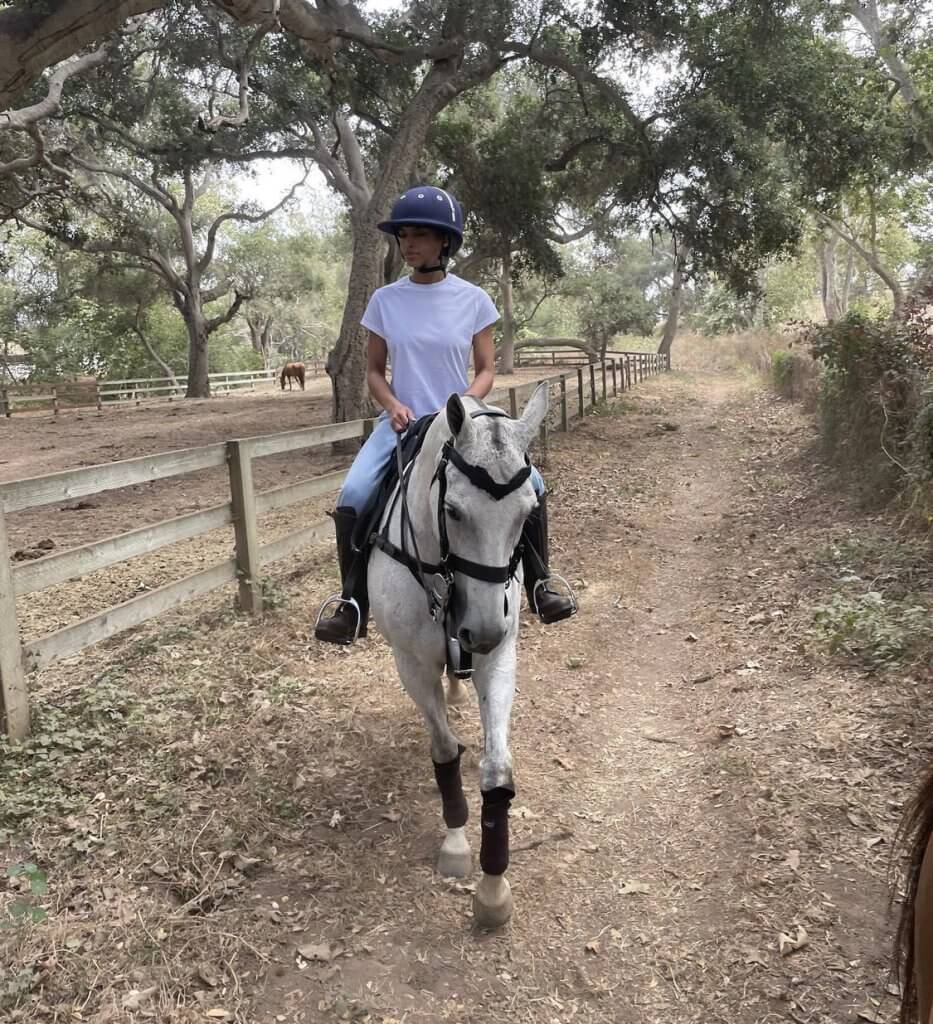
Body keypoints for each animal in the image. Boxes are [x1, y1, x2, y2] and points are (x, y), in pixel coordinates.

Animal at [368, 385, 548, 929]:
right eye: (452, 510)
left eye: (528, 513)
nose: (482, 630)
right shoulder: (411, 664)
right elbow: (445, 751)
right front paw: (454, 843)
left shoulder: (501, 655)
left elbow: (497, 769)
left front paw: (492, 887)